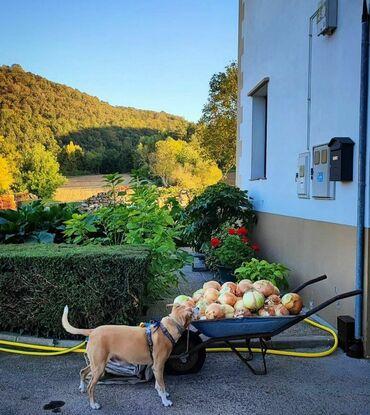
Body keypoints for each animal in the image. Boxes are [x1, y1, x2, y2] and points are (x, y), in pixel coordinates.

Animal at [61, 304, 194, 412]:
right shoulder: (158, 366)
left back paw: (82, 387)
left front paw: (163, 394)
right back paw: (93, 404)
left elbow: (159, 384)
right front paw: (165, 401)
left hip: (96, 364)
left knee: (82, 371)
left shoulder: (157, 367)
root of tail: (93, 331)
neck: (167, 329)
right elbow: (161, 385)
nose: (197, 307)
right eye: (193, 309)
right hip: (99, 368)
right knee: (91, 387)